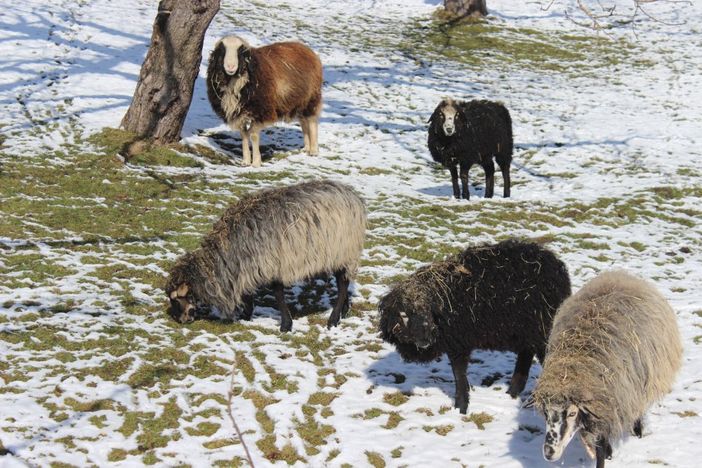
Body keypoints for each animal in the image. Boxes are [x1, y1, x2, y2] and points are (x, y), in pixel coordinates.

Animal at [166, 177, 368, 330]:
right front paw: (246, 314)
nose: (180, 320)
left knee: (342, 284)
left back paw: (333, 319)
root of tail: (353, 196)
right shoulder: (249, 267)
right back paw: (344, 311)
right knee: (344, 283)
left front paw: (285, 325)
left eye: (176, 299)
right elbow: (249, 292)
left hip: (344, 251)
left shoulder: (273, 264)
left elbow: (277, 293)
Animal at [205, 36, 324, 168]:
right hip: (299, 101)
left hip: (312, 97)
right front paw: (246, 161)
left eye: (240, 52)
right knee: (303, 122)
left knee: (312, 121)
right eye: (222, 52)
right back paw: (306, 148)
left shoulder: (260, 112)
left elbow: (253, 135)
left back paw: (314, 150)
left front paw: (256, 162)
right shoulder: (240, 113)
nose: (230, 67)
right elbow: (244, 135)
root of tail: (307, 49)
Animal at [380, 239, 572, 414]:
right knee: (525, 356)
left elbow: (459, 374)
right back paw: (512, 393)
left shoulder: (459, 342)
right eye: (404, 314)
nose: (426, 339)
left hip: (543, 329)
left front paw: (461, 407)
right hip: (527, 330)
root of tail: (556, 265)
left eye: (427, 311)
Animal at [532, 270, 680, 468]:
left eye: (572, 413)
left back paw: (637, 430)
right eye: (546, 412)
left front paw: (605, 454)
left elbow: (601, 444)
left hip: (638, 382)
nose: (549, 452)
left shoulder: (609, 400)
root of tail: (619, 275)